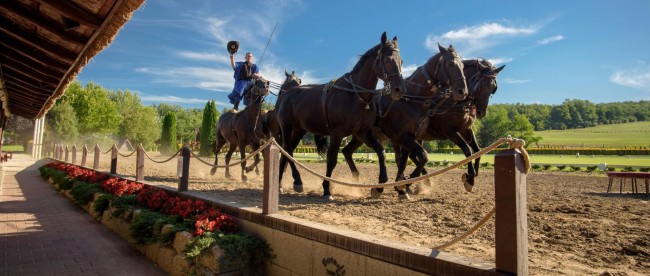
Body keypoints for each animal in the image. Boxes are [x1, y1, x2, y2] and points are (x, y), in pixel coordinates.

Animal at [274, 32, 404, 198]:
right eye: (387, 60)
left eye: (401, 61)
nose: (399, 89)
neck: (356, 96)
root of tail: (287, 94)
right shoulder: (337, 133)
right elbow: (332, 160)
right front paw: (326, 188)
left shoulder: (362, 133)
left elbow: (381, 152)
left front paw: (380, 185)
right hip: (287, 127)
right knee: (287, 150)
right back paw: (297, 181)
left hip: (298, 130)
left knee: (286, 151)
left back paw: (279, 184)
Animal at [336, 44, 468, 198]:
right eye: (451, 64)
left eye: (462, 66)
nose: (463, 91)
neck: (411, 99)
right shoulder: (402, 137)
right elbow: (422, 156)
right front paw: (405, 184)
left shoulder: (409, 137)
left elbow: (404, 161)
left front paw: (402, 186)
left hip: (360, 137)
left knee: (346, 151)